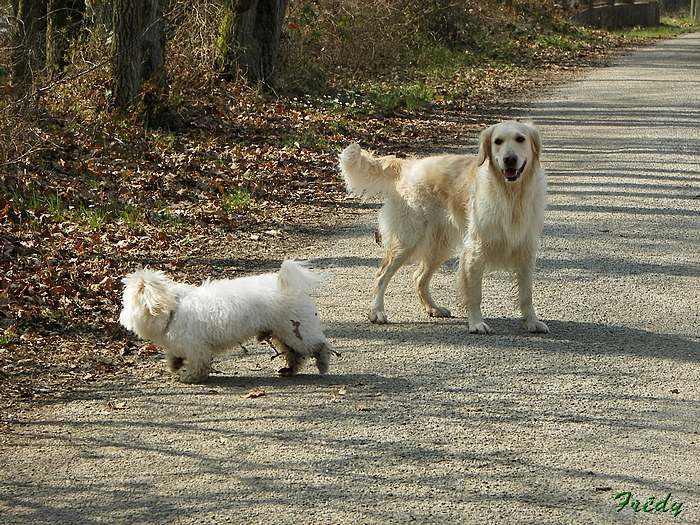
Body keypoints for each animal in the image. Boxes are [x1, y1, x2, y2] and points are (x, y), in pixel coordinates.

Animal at [120, 260, 334, 382]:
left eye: (126, 302)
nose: (120, 317)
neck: (173, 306)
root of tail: (292, 288)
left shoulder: (197, 347)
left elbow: (198, 364)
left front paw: (190, 377)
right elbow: (174, 354)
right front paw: (174, 364)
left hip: (296, 331)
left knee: (319, 346)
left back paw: (322, 364)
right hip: (283, 333)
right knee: (294, 354)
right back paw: (288, 370)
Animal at [340, 119, 548, 332]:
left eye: (520, 139)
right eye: (498, 141)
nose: (509, 159)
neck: (511, 195)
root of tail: (409, 164)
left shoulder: (527, 248)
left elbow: (526, 293)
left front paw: (532, 321)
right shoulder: (476, 248)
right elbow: (475, 294)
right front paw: (476, 323)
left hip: (439, 245)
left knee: (419, 277)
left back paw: (433, 308)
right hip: (408, 238)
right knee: (382, 274)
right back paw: (377, 312)